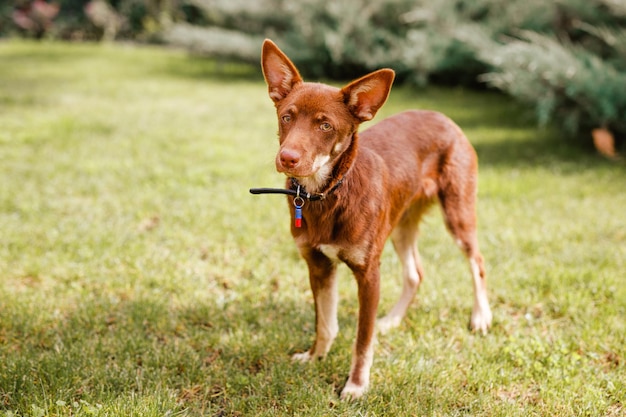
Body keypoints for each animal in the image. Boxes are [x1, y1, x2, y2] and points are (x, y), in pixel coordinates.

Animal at [256, 39, 490, 400]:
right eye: (287, 117)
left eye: (325, 126)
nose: (287, 158)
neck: (328, 194)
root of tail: (443, 116)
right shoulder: (318, 265)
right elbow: (325, 323)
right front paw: (315, 357)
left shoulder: (368, 273)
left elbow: (362, 340)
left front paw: (356, 385)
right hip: (401, 225)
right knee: (415, 273)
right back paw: (392, 320)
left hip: (458, 214)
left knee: (477, 261)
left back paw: (480, 317)